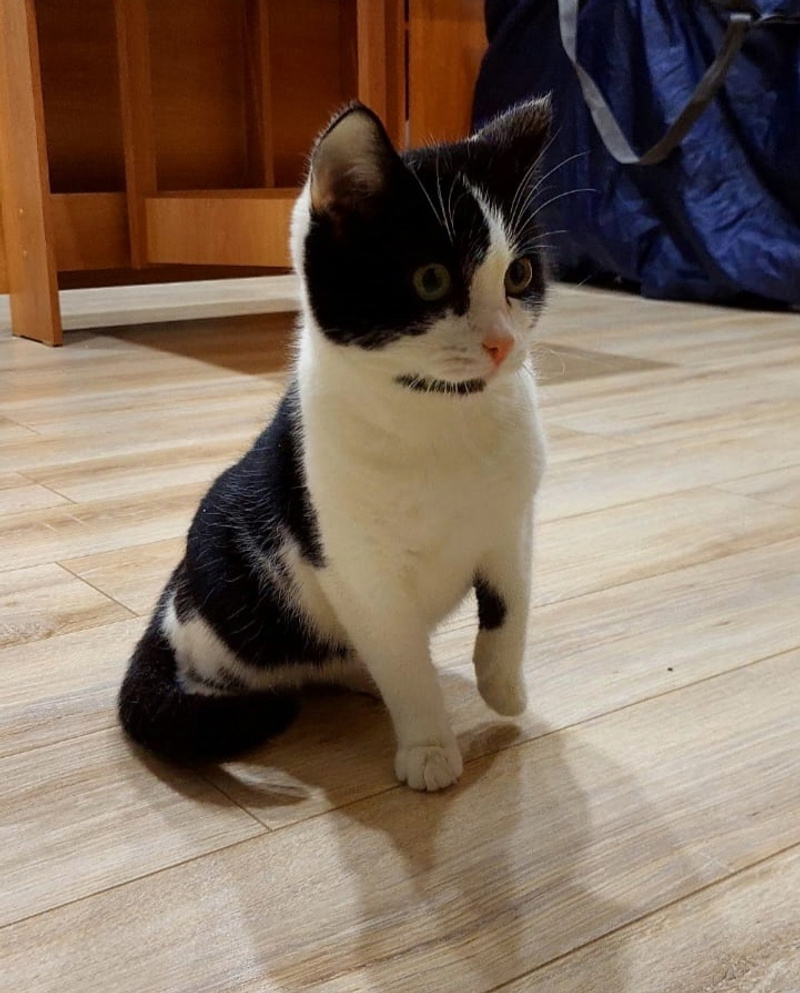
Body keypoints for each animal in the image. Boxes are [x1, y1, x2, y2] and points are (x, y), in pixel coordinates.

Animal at [119, 97, 552, 792]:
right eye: (431, 279)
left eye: (519, 272)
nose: (502, 343)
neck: (444, 412)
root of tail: (171, 598)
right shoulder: (354, 561)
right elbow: (401, 655)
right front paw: (429, 745)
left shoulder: (513, 523)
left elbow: (511, 607)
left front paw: (503, 686)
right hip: (228, 562)